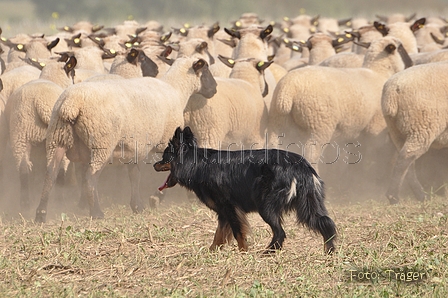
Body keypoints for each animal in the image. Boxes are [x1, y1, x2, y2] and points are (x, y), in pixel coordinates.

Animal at [34, 57, 218, 222]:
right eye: (206, 70)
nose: (215, 89)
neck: (177, 91)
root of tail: (71, 104)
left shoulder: (134, 147)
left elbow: (134, 175)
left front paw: (137, 206)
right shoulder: (165, 142)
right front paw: (157, 198)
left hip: (57, 137)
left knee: (50, 173)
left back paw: (41, 214)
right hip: (102, 142)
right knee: (90, 176)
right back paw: (96, 212)